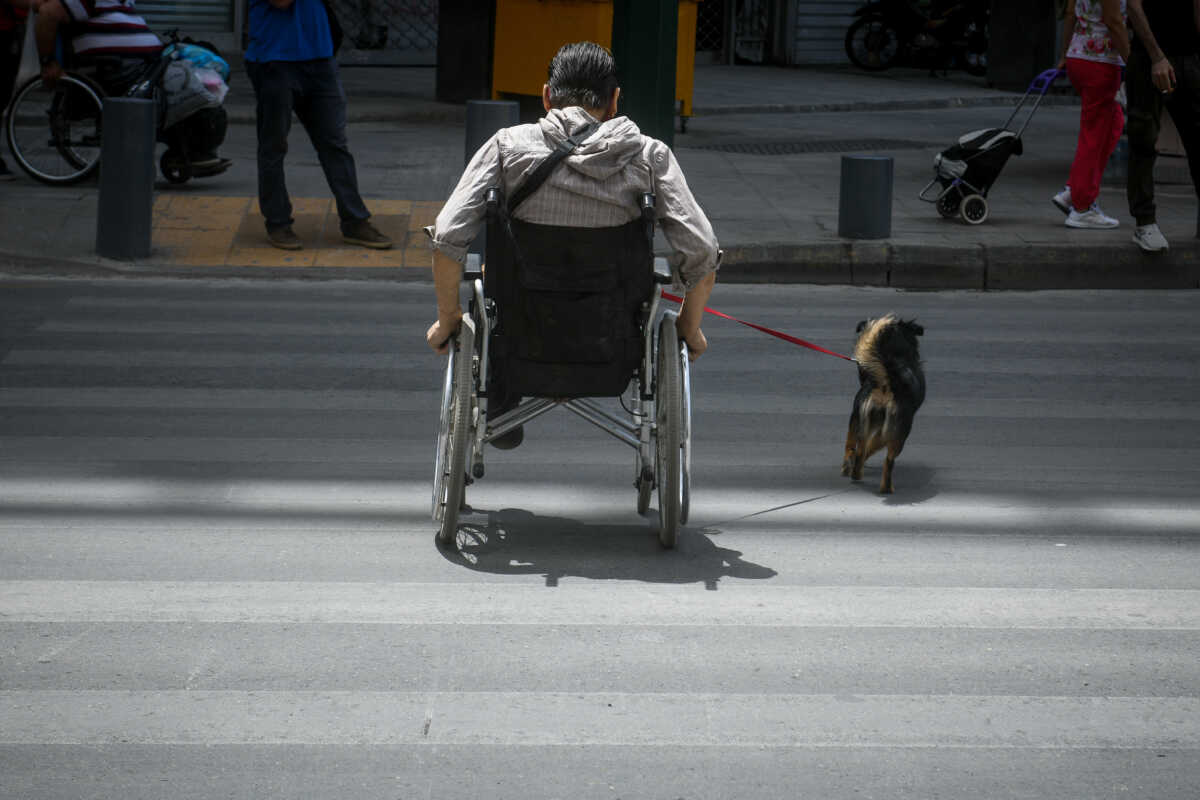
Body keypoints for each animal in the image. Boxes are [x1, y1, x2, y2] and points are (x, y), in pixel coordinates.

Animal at [844, 314, 926, 494]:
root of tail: (886, 383)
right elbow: (874, 446)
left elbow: (860, 446)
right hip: (899, 431)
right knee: (888, 461)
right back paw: (886, 488)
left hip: (859, 417)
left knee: (856, 448)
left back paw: (853, 471)